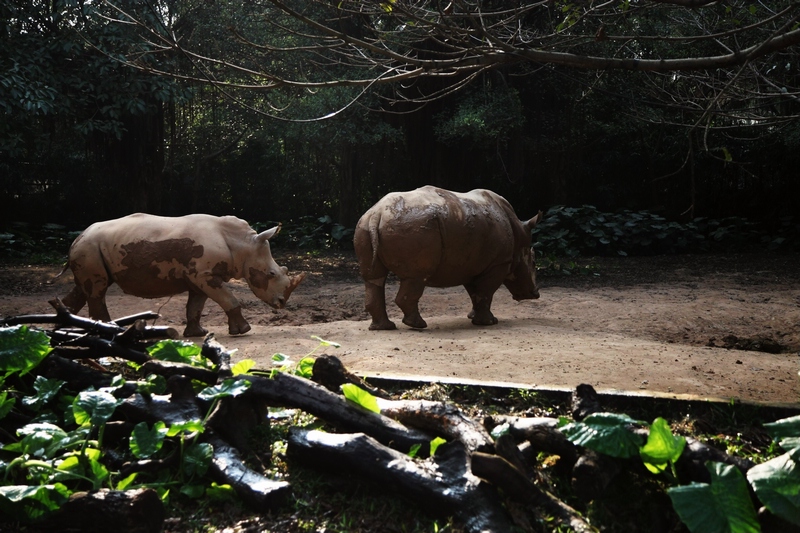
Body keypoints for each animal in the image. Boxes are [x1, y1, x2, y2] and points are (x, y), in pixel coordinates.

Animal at [61, 213, 305, 337]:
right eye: (271, 273)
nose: (282, 303)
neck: (243, 244)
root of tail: (78, 236)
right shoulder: (204, 274)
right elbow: (229, 299)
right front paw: (243, 331)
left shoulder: (200, 276)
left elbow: (195, 306)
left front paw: (197, 333)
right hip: (90, 247)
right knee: (97, 289)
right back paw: (106, 330)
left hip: (90, 248)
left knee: (84, 288)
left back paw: (64, 325)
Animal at [353, 186, 541, 330]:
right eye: (533, 262)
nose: (535, 294)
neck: (519, 233)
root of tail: (377, 214)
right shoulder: (499, 263)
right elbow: (486, 292)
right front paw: (489, 322)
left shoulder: (471, 264)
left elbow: (475, 292)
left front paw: (472, 317)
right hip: (412, 228)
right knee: (416, 277)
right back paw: (418, 325)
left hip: (365, 224)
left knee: (374, 279)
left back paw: (384, 327)